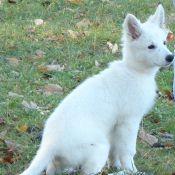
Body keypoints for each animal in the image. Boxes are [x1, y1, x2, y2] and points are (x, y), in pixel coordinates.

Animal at [20, 4, 174, 175]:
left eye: (164, 42)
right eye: (151, 46)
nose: (170, 57)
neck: (134, 71)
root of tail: (49, 146)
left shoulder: (115, 125)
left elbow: (115, 151)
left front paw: (116, 166)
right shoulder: (129, 121)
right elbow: (127, 151)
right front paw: (131, 171)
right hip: (99, 148)